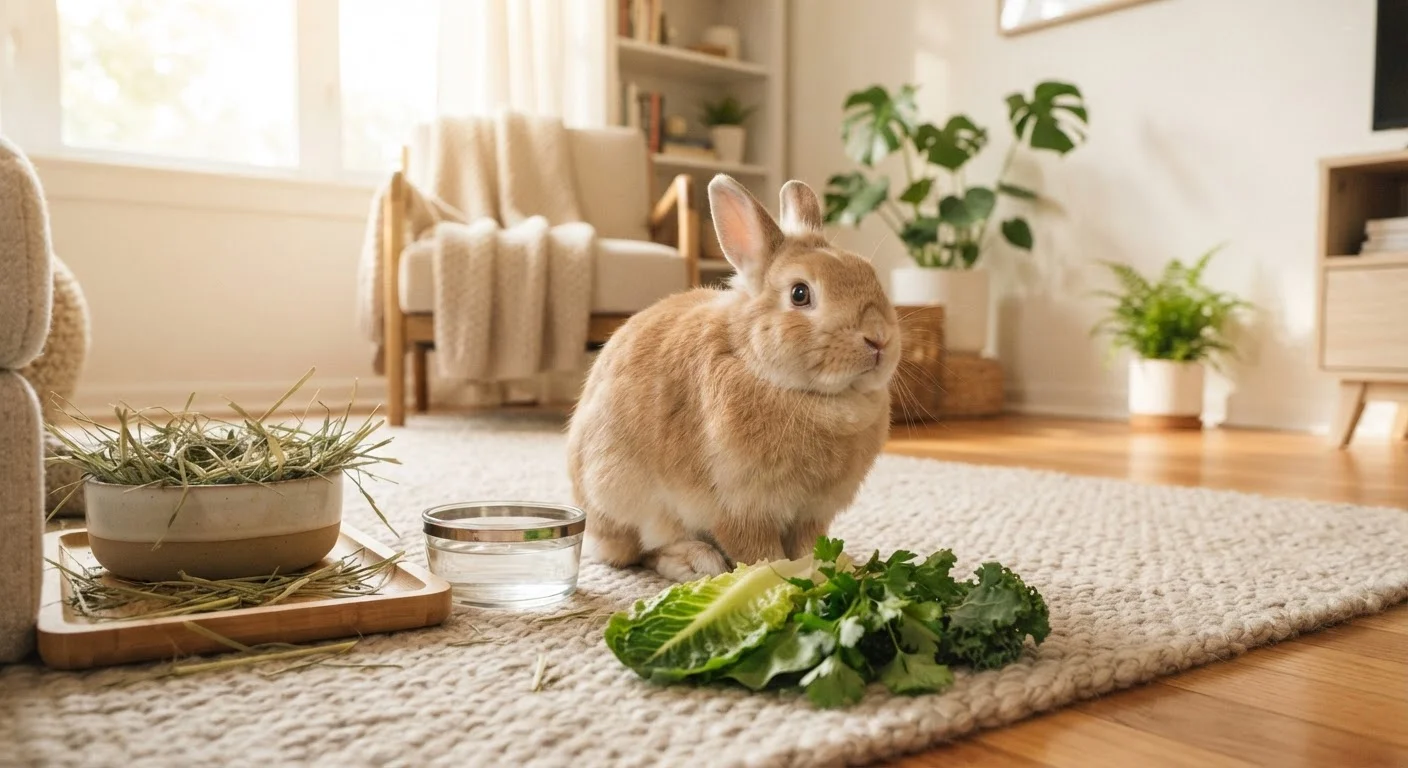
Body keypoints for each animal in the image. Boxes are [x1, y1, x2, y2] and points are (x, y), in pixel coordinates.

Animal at [566, 174, 899, 582]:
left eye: (868, 274)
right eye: (799, 293)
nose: (879, 338)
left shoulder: (813, 513)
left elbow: (809, 545)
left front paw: (831, 569)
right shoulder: (737, 507)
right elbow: (759, 551)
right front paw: (780, 577)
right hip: (627, 498)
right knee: (639, 551)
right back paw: (697, 562)